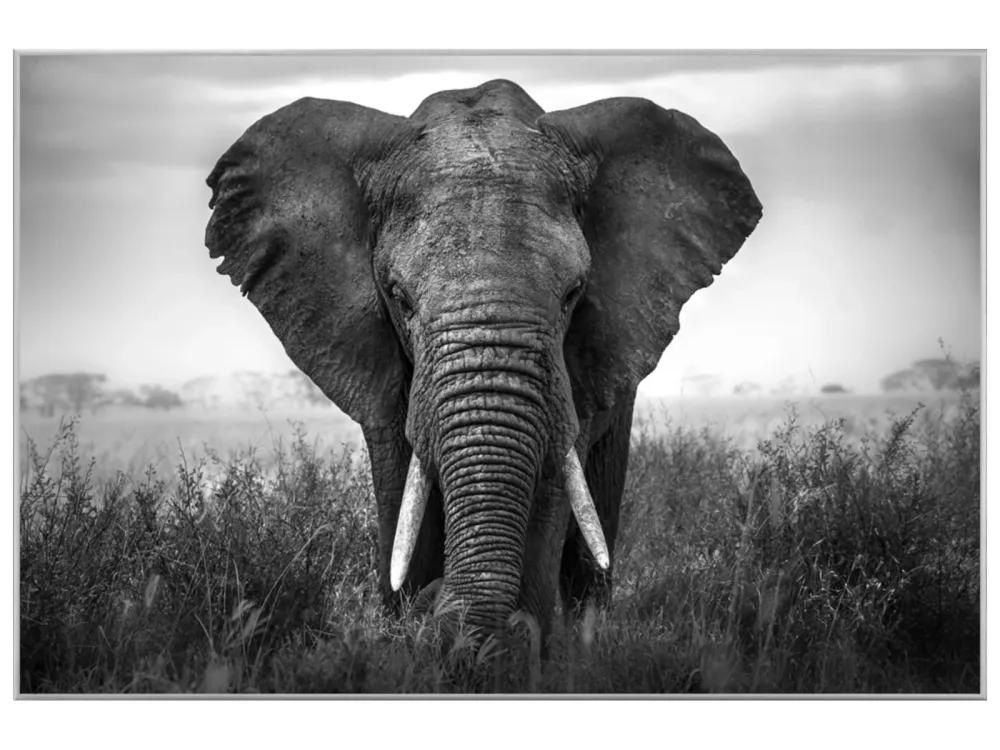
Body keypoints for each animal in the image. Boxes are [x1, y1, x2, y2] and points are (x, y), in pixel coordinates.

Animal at [204, 79, 761, 647]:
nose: (438, 606)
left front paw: (515, 645)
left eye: (573, 294)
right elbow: (402, 486)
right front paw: (411, 629)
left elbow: (551, 483)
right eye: (399, 298)